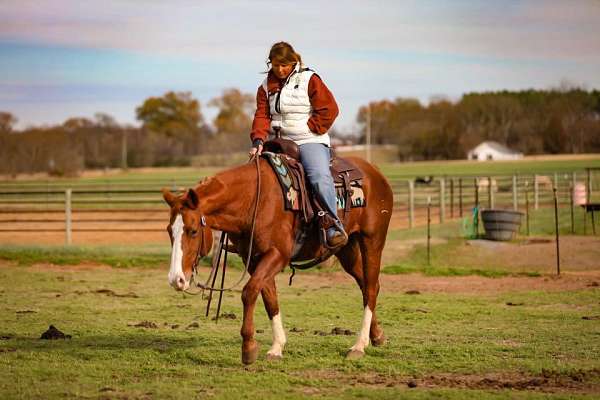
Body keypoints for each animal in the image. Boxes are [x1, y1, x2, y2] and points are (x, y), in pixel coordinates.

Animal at [163, 155, 394, 364]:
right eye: (169, 231)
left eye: (193, 231)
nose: (176, 280)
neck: (253, 200)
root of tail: (374, 171)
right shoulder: (255, 259)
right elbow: (269, 299)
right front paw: (276, 348)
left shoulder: (277, 255)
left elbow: (249, 292)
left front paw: (248, 347)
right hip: (346, 250)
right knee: (368, 285)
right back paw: (376, 336)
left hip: (372, 241)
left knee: (370, 287)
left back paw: (359, 346)